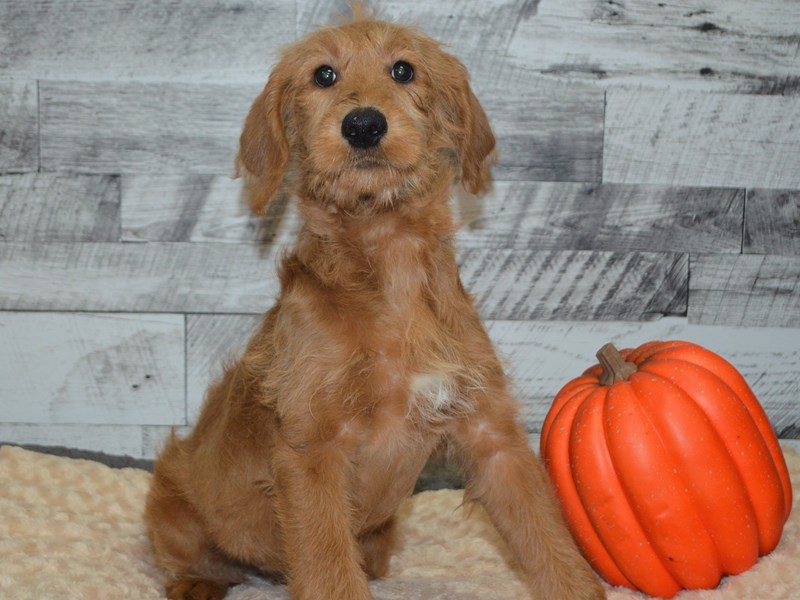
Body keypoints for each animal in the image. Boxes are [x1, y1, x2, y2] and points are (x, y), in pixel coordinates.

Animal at [145, 9, 608, 600]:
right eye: (323, 75)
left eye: (403, 69)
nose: (363, 125)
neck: (389, 263)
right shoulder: (312, 448)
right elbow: (329, 569)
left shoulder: (493, 436)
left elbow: (547, 538)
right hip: (173, 504)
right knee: (189, 556)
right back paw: (197, 582)